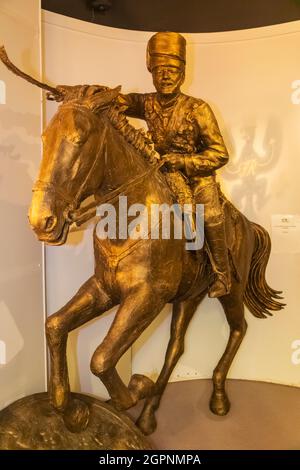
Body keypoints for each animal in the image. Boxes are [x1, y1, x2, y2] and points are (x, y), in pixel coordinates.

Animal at [27, 83, 284, 434]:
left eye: (78, 140)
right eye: (44, 139)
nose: (41, 221)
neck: (129, 218)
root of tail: (248, 224)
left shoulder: (147, 297)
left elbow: (101, 359)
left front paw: (137, 386)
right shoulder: (104, 288)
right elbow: (54, 326)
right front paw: (72, 412)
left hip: (231, 289)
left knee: (239, 328)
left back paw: (217, 397)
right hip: (190, 296)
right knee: (176, 346)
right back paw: (149, 415)